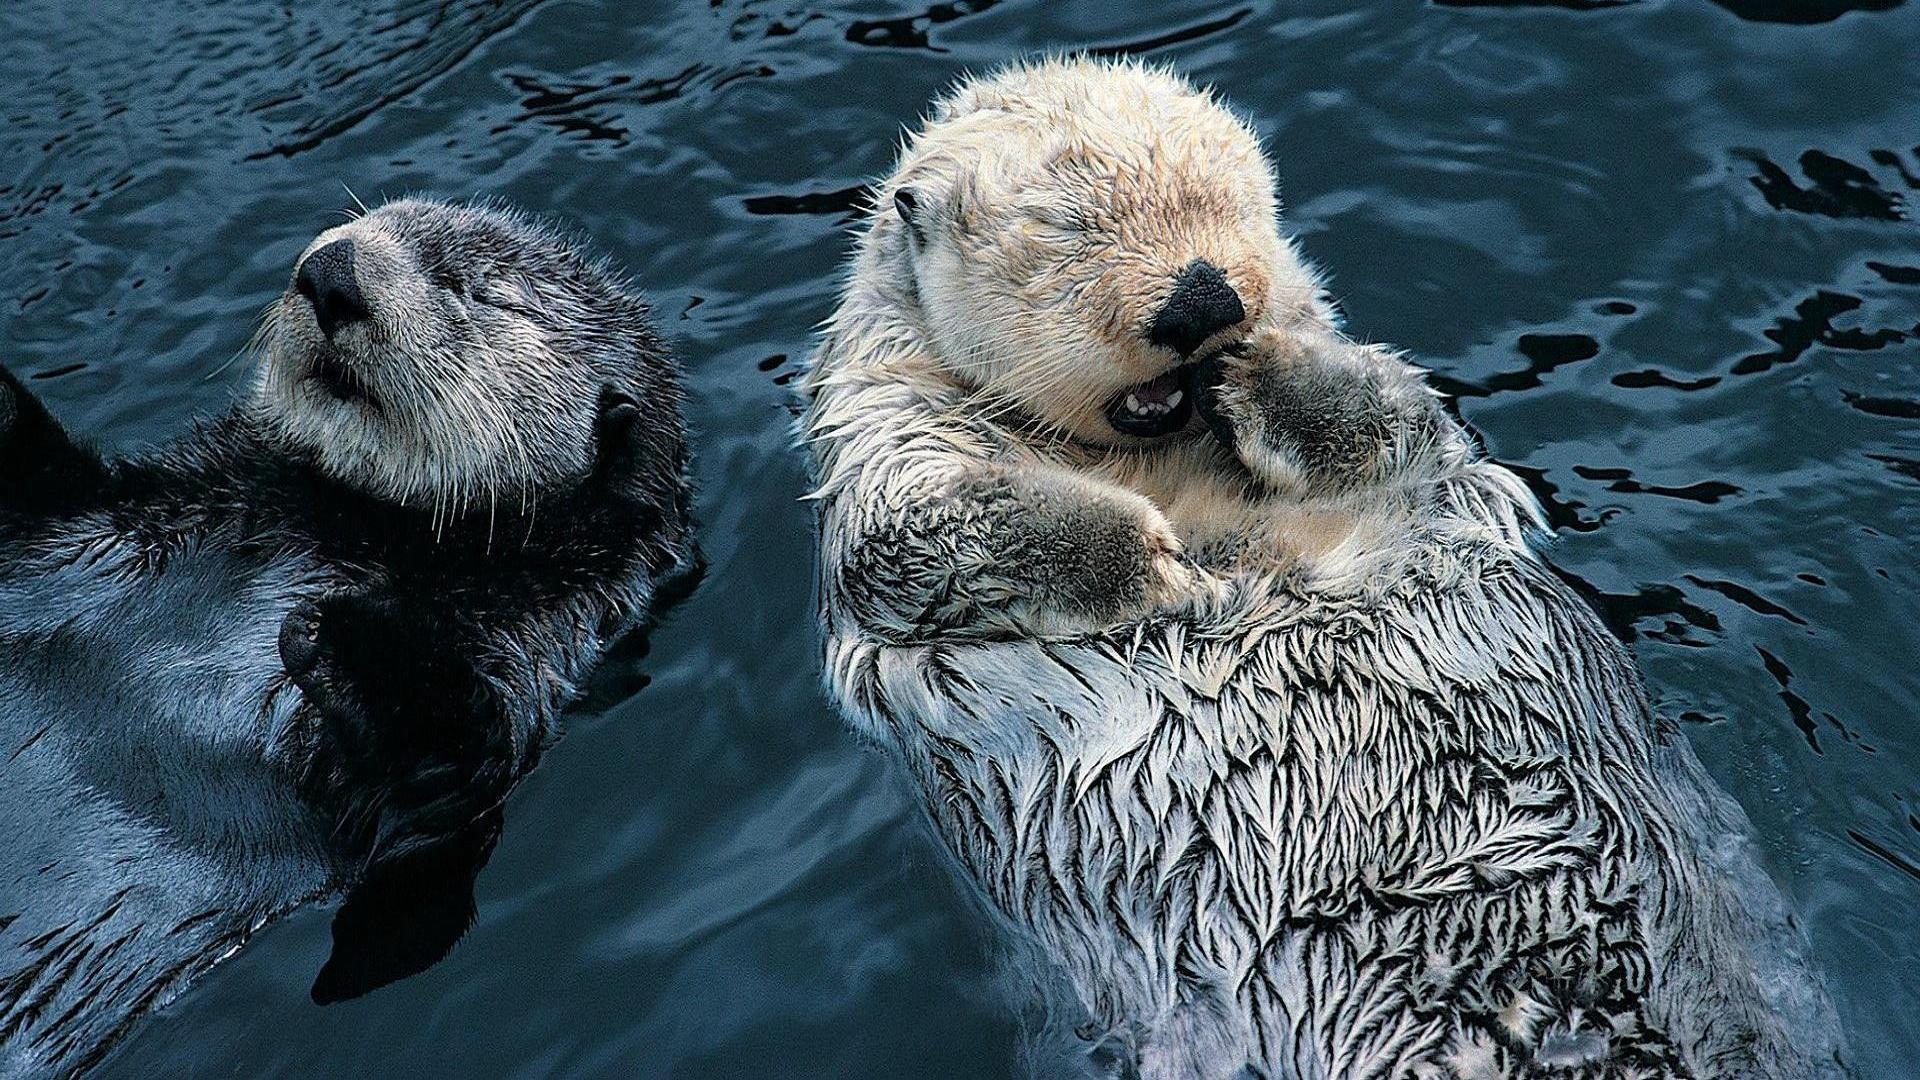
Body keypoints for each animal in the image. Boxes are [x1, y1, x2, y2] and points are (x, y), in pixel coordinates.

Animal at [0, 197, 691, 1068]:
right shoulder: (106, 514)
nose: (331, 271)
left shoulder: (527, 656)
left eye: (473, 290)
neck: (348, 524)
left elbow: (441, 768)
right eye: (366, 219)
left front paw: (340, 636)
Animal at [802, 61, 1850, 1076]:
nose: (1204, 300)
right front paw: (1158, 565)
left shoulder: (1408, 444)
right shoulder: (886, 443)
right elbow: (915, 538)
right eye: (1069, 229)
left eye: (1231, 203)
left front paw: (1257, 376)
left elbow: (1395, 415)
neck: (1160, 461)